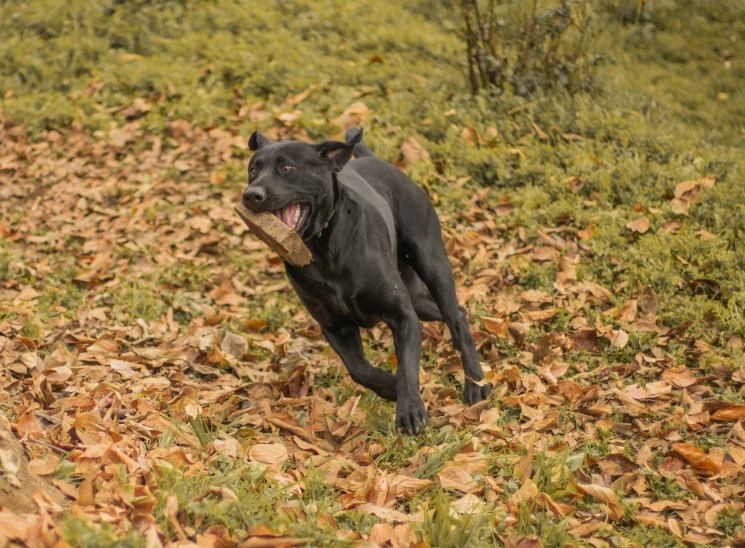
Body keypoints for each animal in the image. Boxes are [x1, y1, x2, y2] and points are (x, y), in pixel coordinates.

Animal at [241, 127, 492, 432]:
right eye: (253, 170)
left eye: (287, 168)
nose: (251, 195)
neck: (324, 251)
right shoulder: (333, 325)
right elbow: (359, 369)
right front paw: (390, 388)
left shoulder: (402, 314)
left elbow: (407, 367)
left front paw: (410, 411)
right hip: (417, 297)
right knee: (459, 311)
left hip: (432, 265)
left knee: (455, 318)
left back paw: (475, 383)